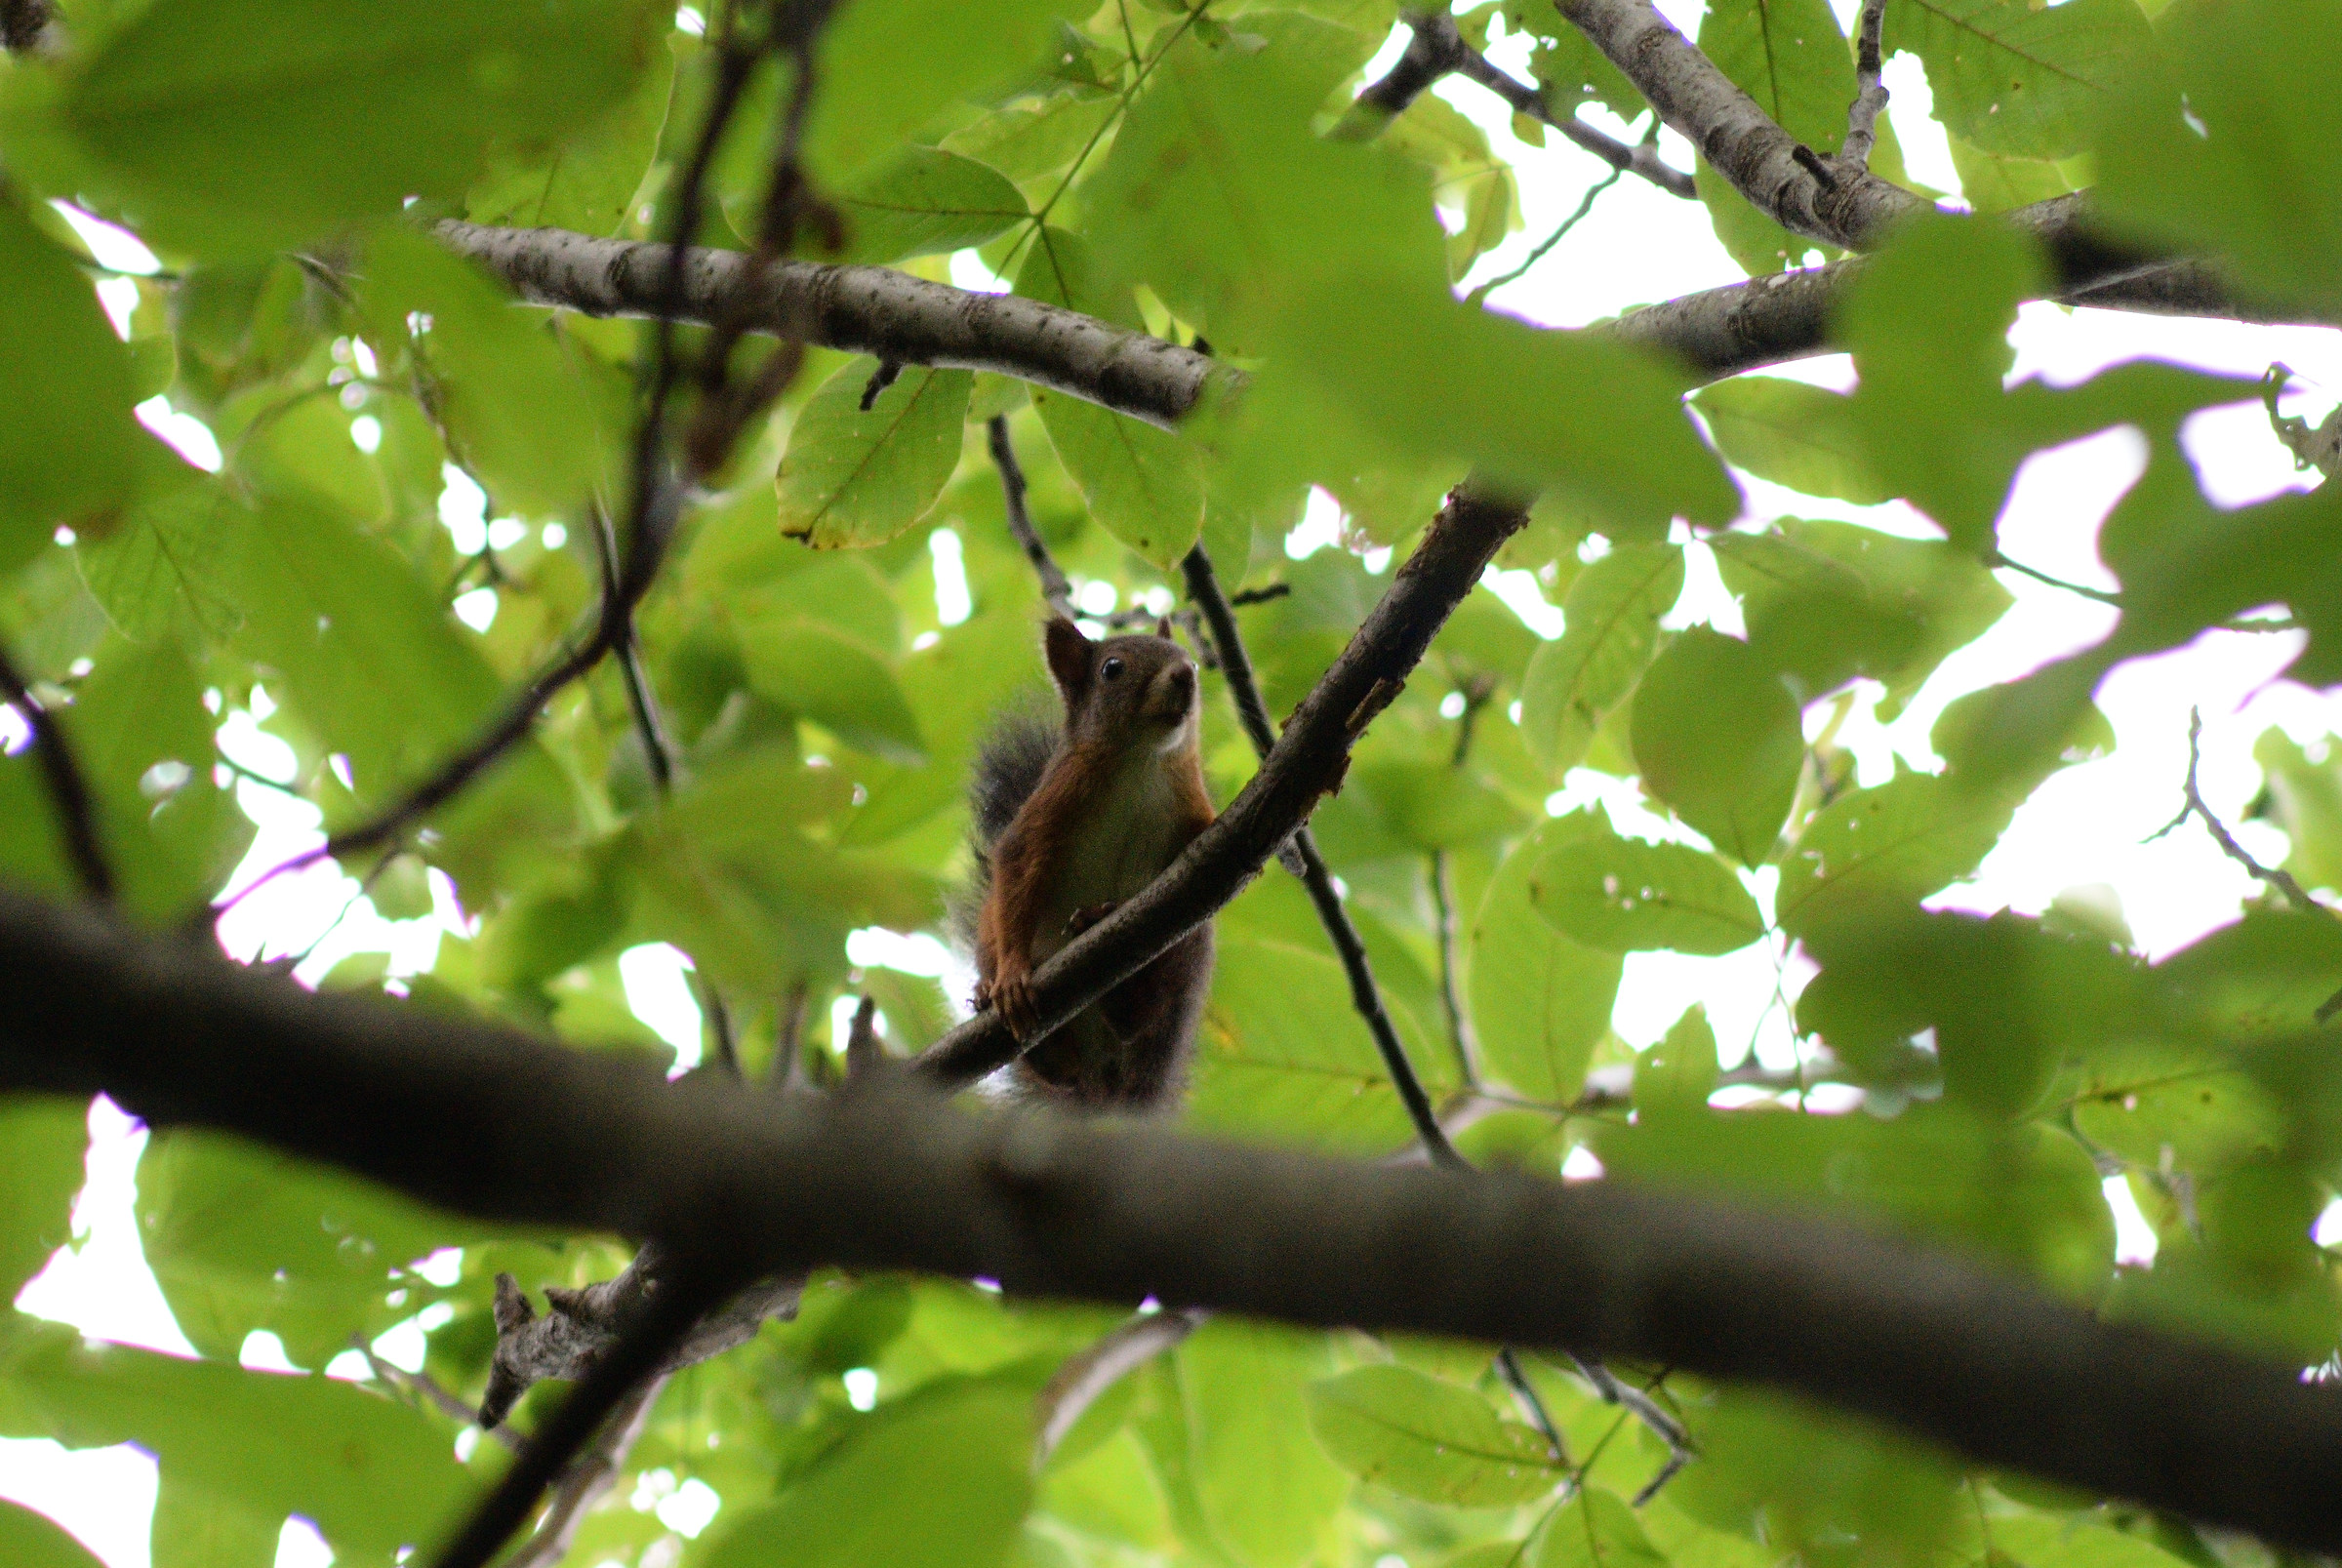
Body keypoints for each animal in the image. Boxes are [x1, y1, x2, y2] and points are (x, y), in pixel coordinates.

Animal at [961, 614, 1217, 1110]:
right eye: (1112, 668)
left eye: (1192, 660)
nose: (1185, 675)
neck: (1142, 763)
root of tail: (1106, 1086)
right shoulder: (1050, 808)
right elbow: (1016, 869)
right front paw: (1012, 976)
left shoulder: (1195, 810)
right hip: (988, 937)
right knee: (1061, 1070)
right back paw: (1003, 1009)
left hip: (1188, 958)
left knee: (1143, 1015)